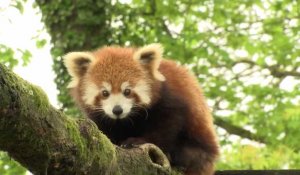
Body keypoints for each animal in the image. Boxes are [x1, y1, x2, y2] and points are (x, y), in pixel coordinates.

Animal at [63, 43, 218, 175]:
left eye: (127, 91)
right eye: (105, 93)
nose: (117, 110)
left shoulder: (172, 100)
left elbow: (167, 126)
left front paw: (137, 141)